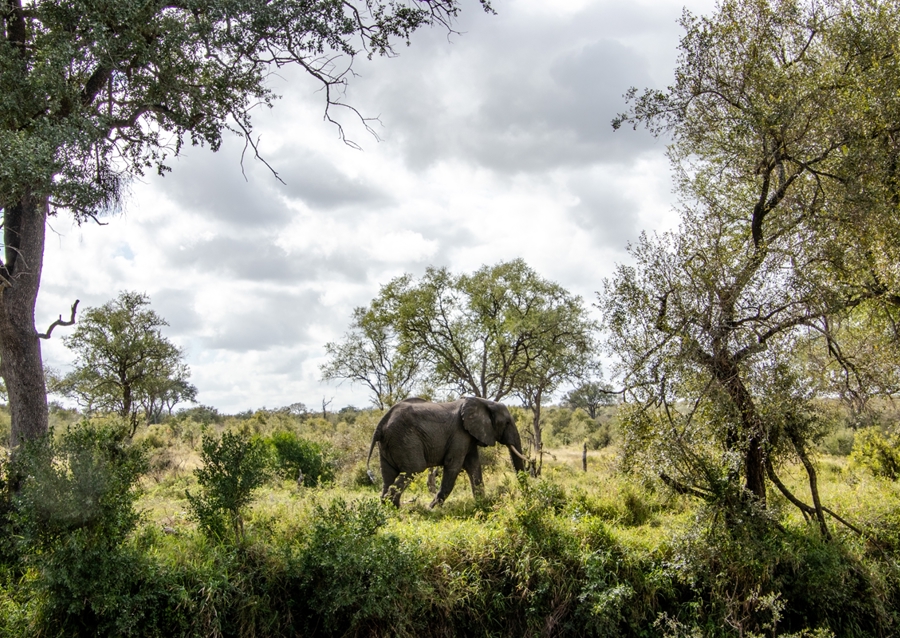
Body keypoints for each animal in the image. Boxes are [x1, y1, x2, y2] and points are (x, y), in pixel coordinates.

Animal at [366, 397, 528, 507]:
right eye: (507, 423)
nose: (524, 496)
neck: (484, 402)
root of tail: (380, 425)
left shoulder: (468, 436)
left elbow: (474, 466)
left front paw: (482, 504)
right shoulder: (460, 433)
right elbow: (453, 465)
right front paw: (432, 508)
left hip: (389, 444)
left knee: (388, 474)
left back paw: (390, 508)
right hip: (404, 439)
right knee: (414, 468)